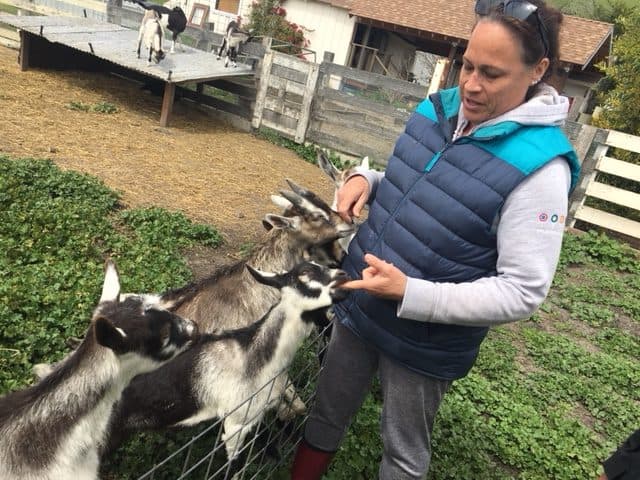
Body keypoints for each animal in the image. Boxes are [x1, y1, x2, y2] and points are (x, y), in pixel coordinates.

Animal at [105, 262, 350, 462]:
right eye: (305, 273)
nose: (344, 275)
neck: (253, 355)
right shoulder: (235, 424)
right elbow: (234, 466)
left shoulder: (256, 415)